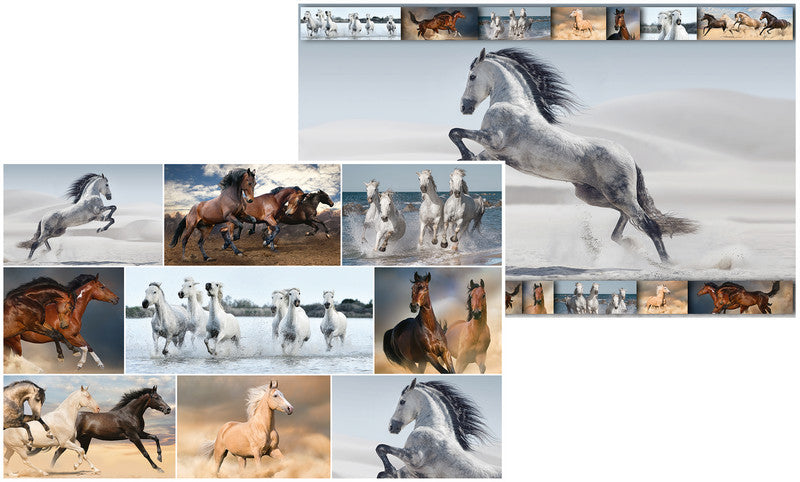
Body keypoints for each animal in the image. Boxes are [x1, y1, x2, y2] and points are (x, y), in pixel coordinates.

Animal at [449, 48, 697, 262]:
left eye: (472, 76)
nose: (464, 107)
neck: (513, 104)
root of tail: (629, 157)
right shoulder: (493, 153)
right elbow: (464, 143)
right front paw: (465, 160)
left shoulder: (494, 139)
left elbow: (455, 131)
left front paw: (465, 154)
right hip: (595, 196)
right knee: (625, 219)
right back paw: (631, 246)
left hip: (618, 195)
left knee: (648, 224)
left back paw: (666, 263)